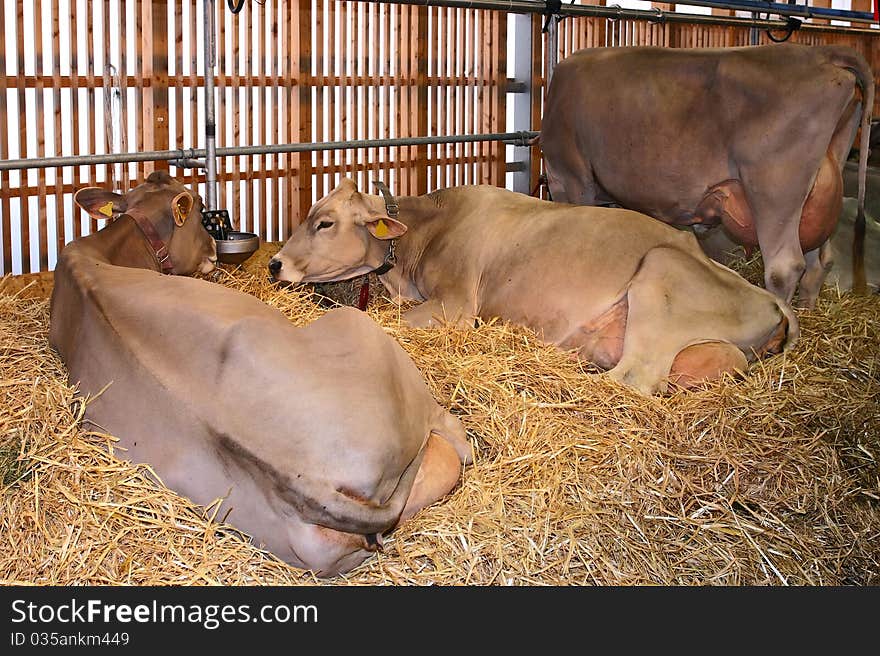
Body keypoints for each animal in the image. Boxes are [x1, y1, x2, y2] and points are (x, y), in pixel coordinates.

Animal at [50, 172, 470, 576]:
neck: (101, 255)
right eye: (201, 209)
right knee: (454, 444)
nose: (212, 252)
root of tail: (308, 481)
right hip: (367, 337)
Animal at [266, 178, 796, 394]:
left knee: (632, 379)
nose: (274, 264)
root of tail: (770, 299)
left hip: (660, 274)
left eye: (325, 222)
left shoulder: (455, 303)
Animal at [536, 43, 872, 310]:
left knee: (785, 267)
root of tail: (820, 53)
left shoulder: (570, 174)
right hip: (815, 195)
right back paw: (806, 313)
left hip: (774, 190)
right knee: (819, 260)